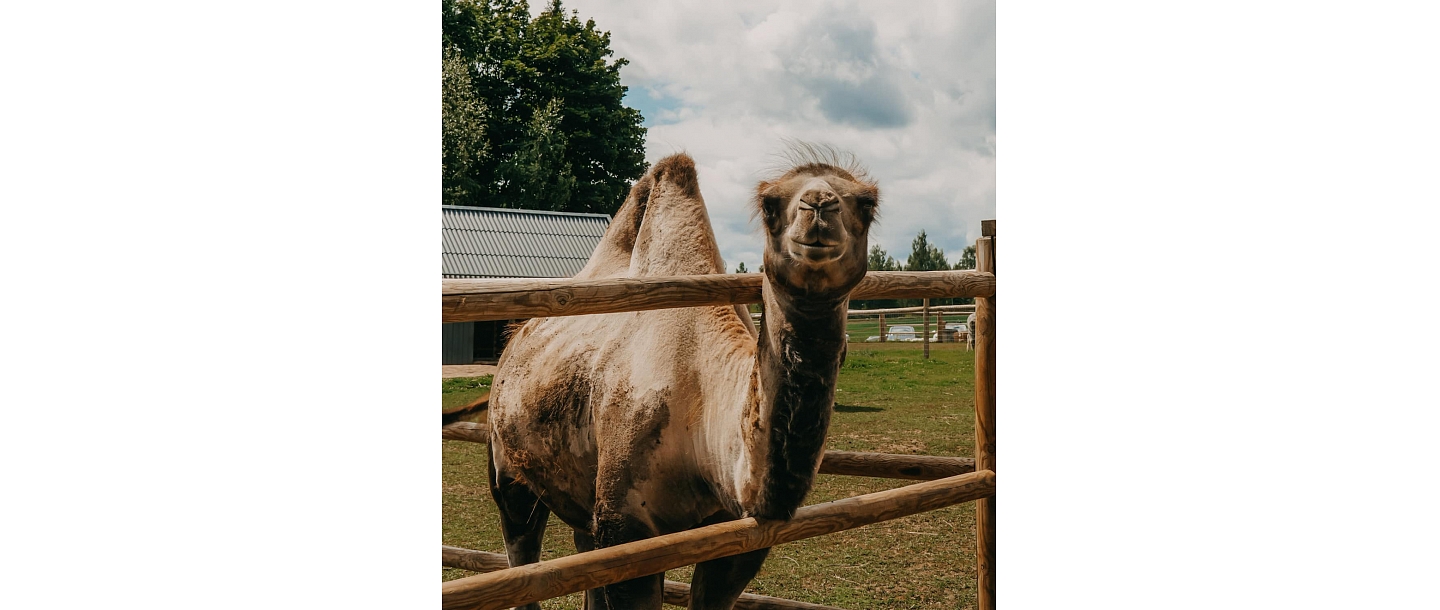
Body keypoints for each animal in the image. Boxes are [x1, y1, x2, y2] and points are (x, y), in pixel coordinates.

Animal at [487, 147, 879, 609]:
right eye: (769, 204)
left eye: (867, 203)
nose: (818, 205)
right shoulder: (627, 526)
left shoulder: (739, 537)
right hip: (507, 468)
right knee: (522, 549)